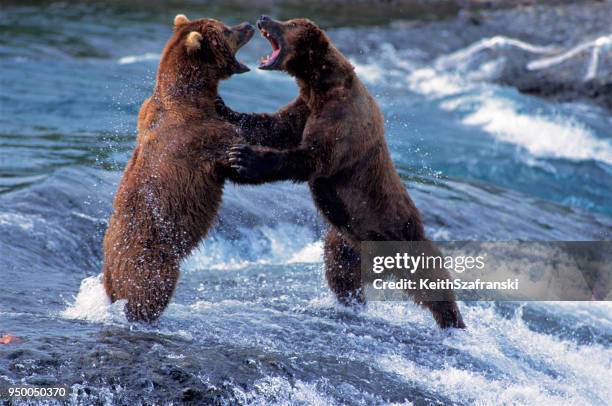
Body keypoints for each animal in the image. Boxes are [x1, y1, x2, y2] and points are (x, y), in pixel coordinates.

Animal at [219, 15, 464, 330]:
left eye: (290, 23)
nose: (264, 18)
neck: (319, 84)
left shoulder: (342, 118)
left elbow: (313, 157)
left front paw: (245, 158)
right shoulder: (305, 109)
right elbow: (272, 126)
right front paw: (223, 107)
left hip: (402, 237)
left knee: (433, 283)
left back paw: (453, 322)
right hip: (346, 244)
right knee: (341, 275)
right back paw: (351, 305)